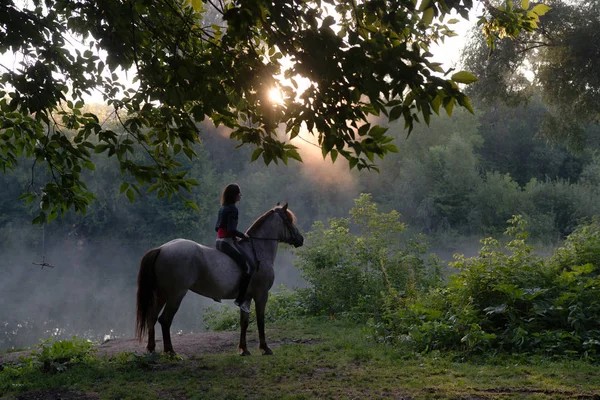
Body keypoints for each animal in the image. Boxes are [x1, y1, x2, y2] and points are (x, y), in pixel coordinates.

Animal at [134, 205, 302, 354]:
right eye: (289, 220)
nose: (300, 239)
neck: (257, 250)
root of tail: (162, 248)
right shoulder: (261, 295)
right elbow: (261, 320)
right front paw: (265, 348)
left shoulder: (246, 297)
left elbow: (244, 322)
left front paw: (244, 349)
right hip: (176, 295)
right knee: (165, 320)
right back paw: (170, 352)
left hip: (161, 294)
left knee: (152, 317)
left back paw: (151, 349)